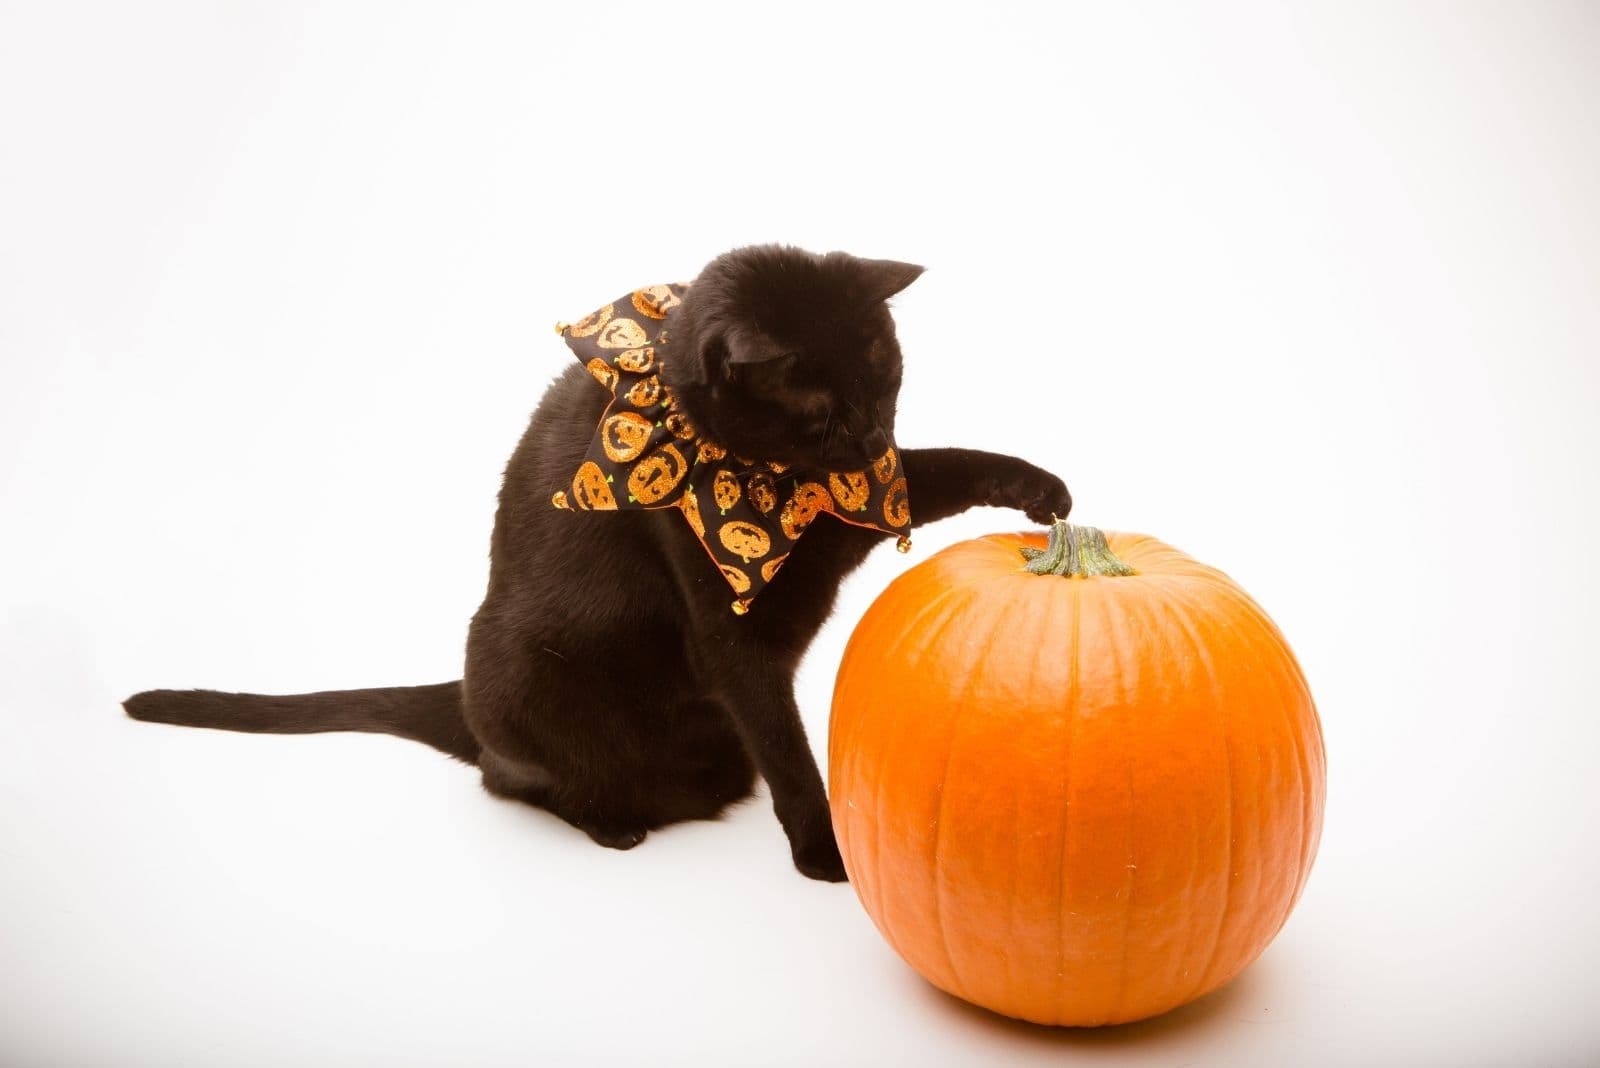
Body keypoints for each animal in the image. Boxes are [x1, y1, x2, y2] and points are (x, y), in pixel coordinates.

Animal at [128, 246, 1075, 882]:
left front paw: (1043, 492)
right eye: (822, 410)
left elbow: (947, 466)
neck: (771, 482)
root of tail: (463, 696)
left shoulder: (853, 505)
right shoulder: (728, 632)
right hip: (515, 670)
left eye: (887, 377)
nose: (872, 434)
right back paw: (611, 821)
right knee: (509, 778)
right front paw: (823, 848)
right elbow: (786, 743)